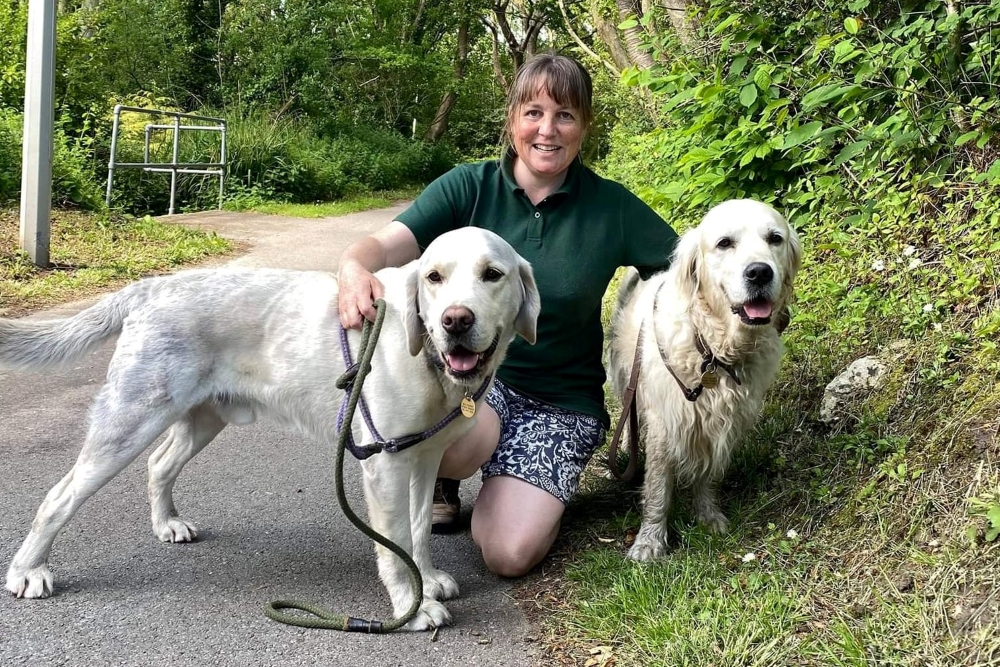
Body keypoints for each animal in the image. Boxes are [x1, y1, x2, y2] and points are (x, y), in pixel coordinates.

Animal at [3, 227, 544, 628]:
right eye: (434, 277)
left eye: (492, 275)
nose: (456, 320)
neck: (429, 359)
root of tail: (151, 286)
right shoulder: (386, 464)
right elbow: (394, 547)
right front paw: (411, 608)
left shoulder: (423, 458)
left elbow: (418, 533)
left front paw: (427, 580)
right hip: (128, 422)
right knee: (59, 497)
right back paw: (29, 571)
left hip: (203, 420)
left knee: (159, 465)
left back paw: (166, 523)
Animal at [604, 200, 800, 564]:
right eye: (725, 243)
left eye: (774, 238)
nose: (760, 272)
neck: (713, 347)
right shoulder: (666, 420)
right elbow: (658, 488)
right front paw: (649, 542)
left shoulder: (724, 420)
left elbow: (709, 475)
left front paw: (708, 517)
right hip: (626, 379)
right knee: (628, 416)